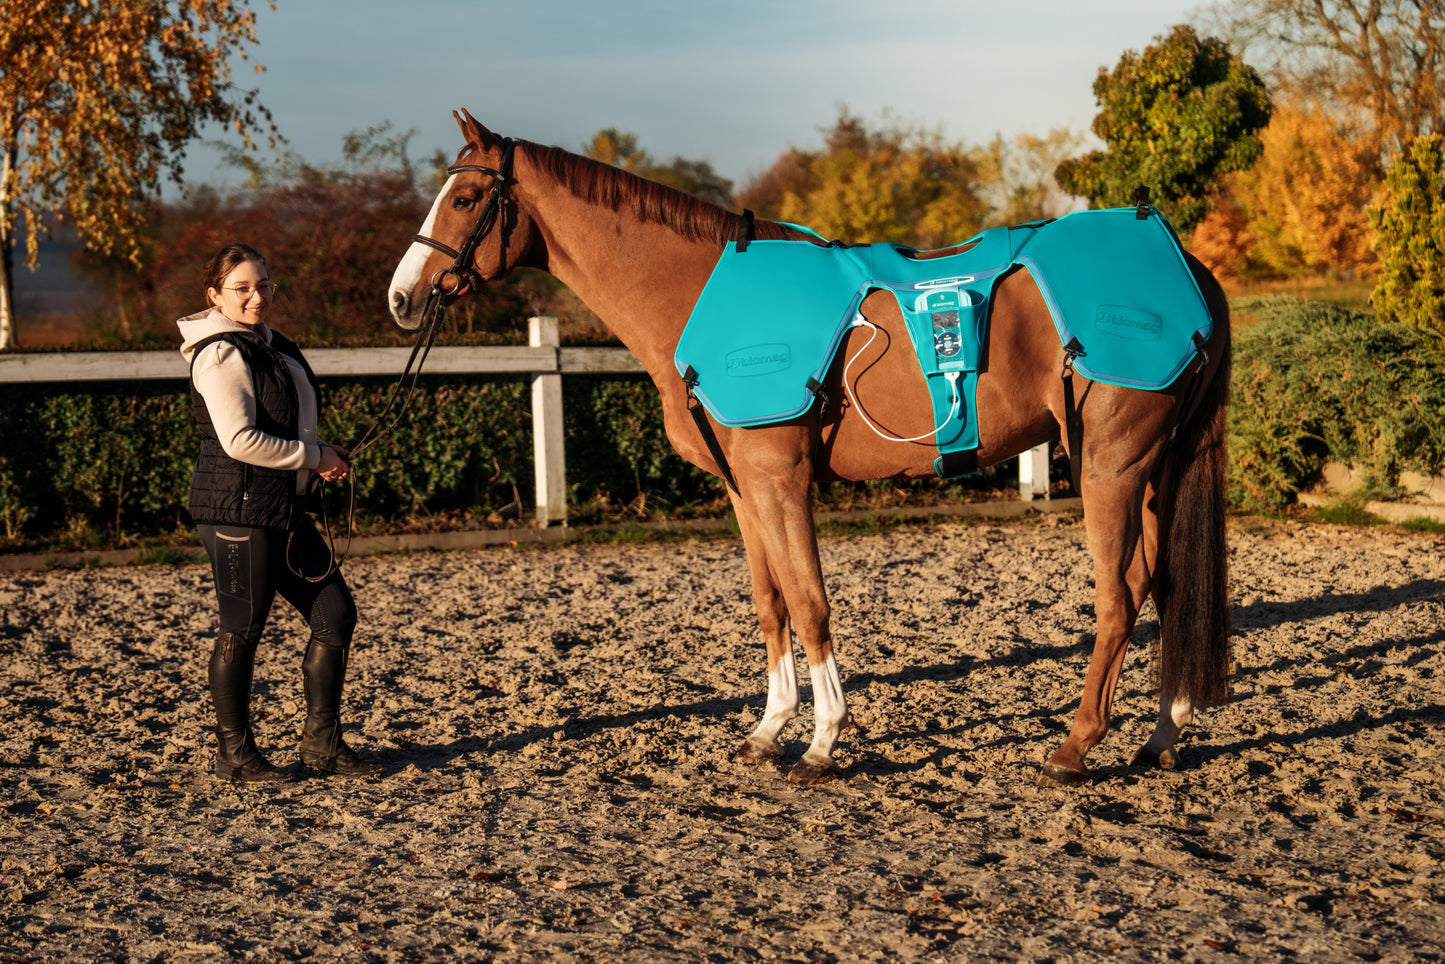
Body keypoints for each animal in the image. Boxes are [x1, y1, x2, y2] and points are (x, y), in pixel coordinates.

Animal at [387, 110, 1231, 788]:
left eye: (464, 199)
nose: (402, 296)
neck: (698, 292)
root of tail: (1182, 261)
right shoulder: (743, 489)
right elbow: (771, 606)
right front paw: (767, 731)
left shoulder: (780, 477)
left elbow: (809, 601)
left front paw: (822, 742)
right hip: (1150, 470)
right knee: (1163, 587)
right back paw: (1161, 737)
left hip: (1109, 467)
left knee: (1118, 598)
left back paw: (1073, 747)